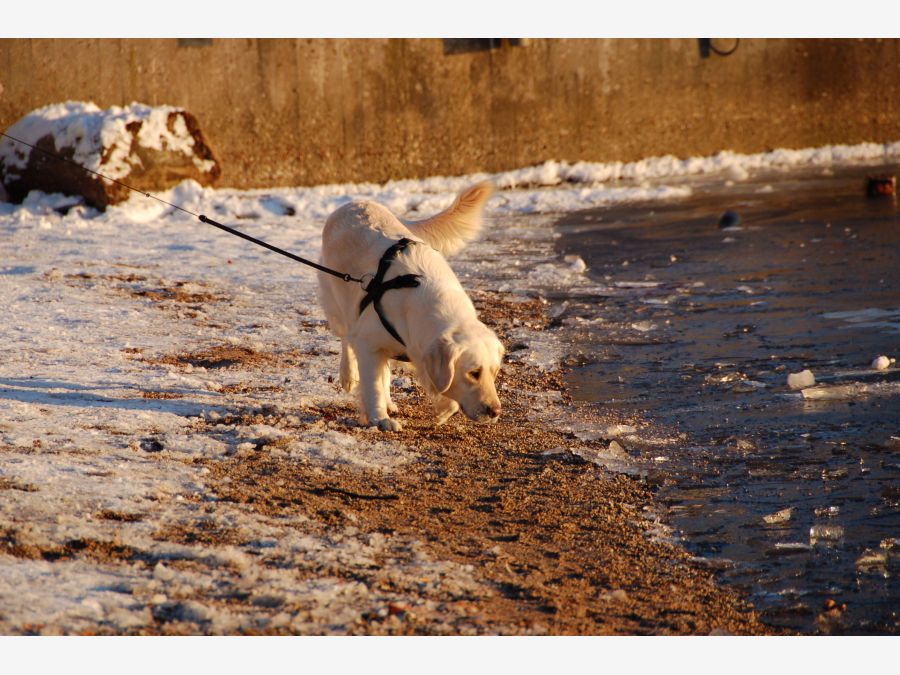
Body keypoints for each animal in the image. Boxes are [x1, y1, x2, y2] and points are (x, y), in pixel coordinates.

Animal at [316, 182, 502, 430]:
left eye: (495, 372)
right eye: (474, 373)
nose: (496, 411)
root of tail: (354, 202)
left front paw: (444, 410)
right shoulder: (367, 342)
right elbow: (372, 385)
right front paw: (379, 418)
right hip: (338, 304)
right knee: (346, 338)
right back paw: (349, 375)